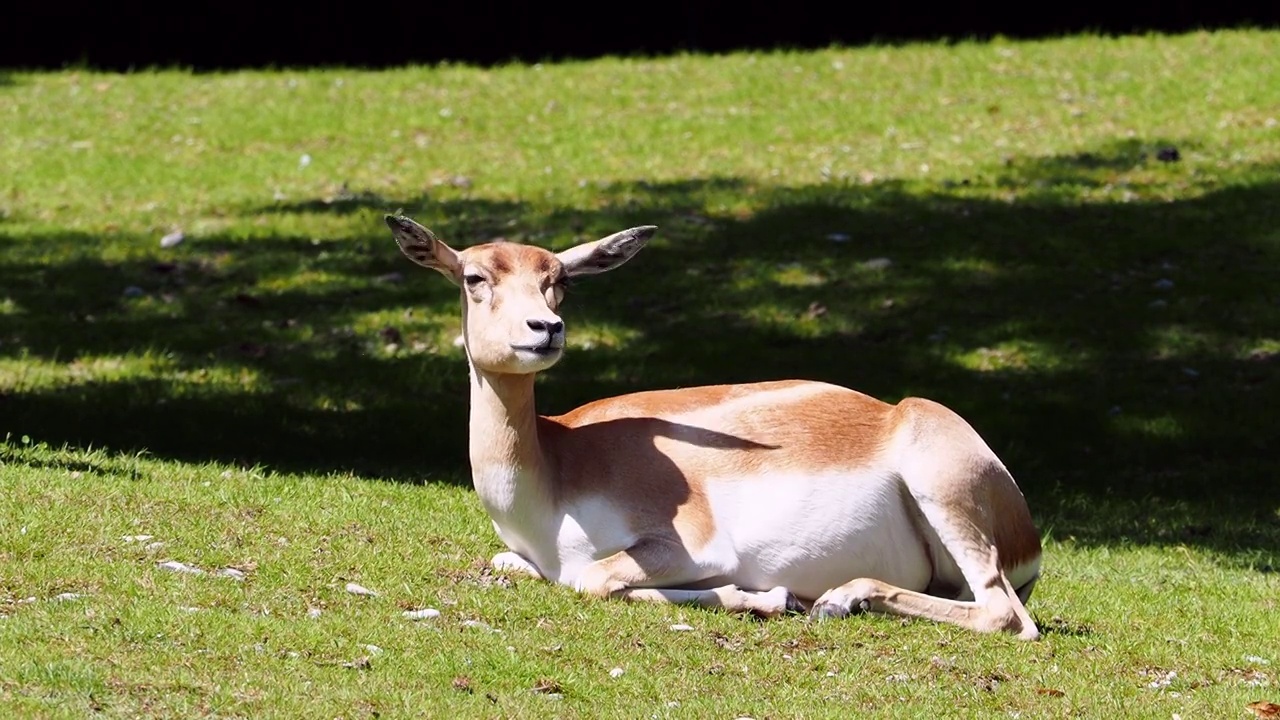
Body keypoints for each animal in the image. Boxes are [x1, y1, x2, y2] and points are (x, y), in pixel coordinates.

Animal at [384, 213, 1044, 638]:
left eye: (560, 280)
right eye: (474, 277)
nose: (544, 328)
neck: (553, 466)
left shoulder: (689, 545)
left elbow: (591, 579)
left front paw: (768, 596)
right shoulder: (522, 557)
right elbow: (524, 568)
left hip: (944, 493)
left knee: (1005, 616)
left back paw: (838, 599)